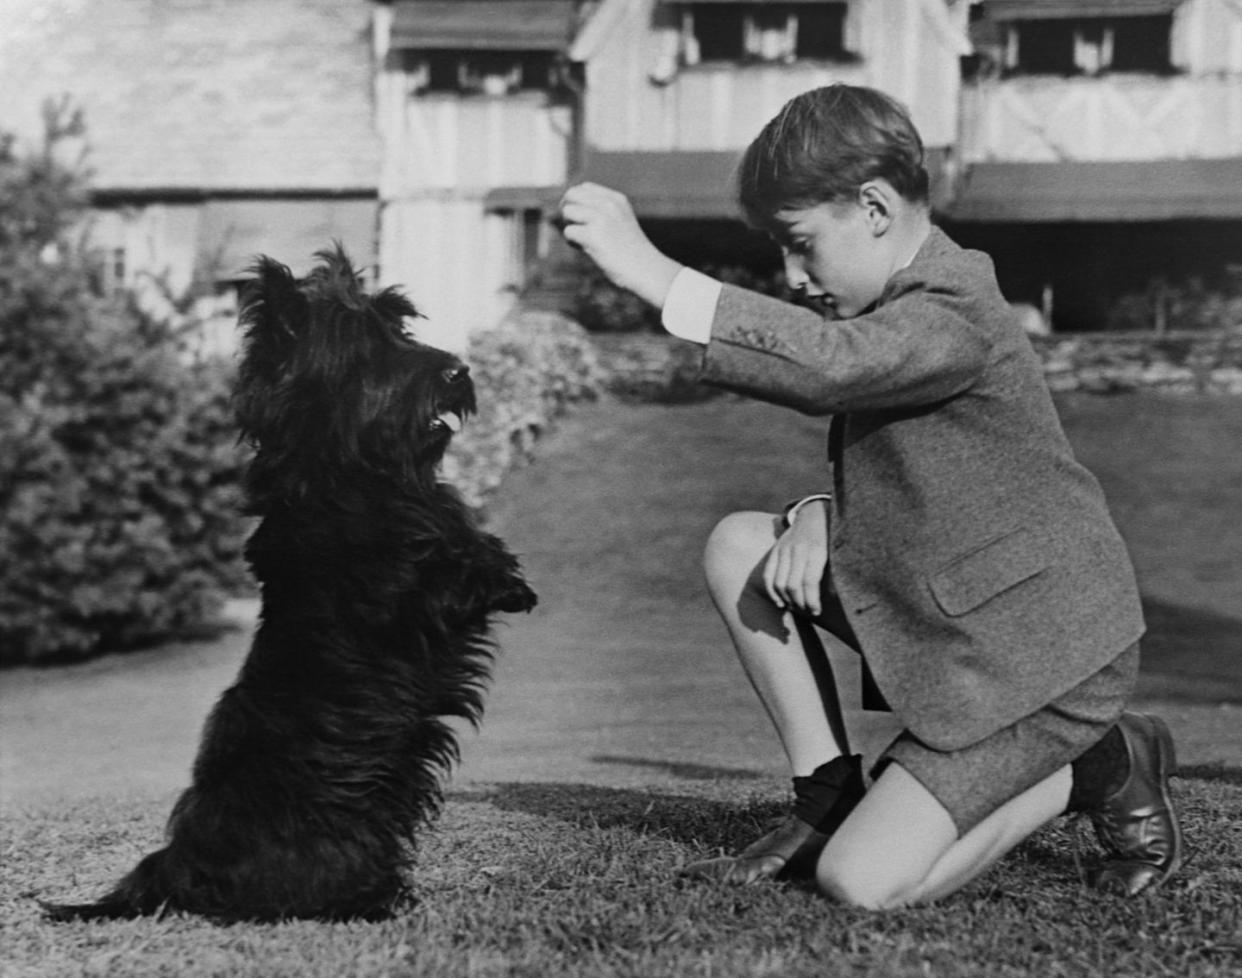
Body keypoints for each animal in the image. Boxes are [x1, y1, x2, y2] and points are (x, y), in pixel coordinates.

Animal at [41, 248, 536, 919]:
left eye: (401, 330)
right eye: (363, 349)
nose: (459, 371)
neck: (351, 477)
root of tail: (176, 865)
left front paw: (513, 578)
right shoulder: (400, 593)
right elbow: (449, 576)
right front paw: (499, 579)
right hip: (336, 837)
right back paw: (376, 900)